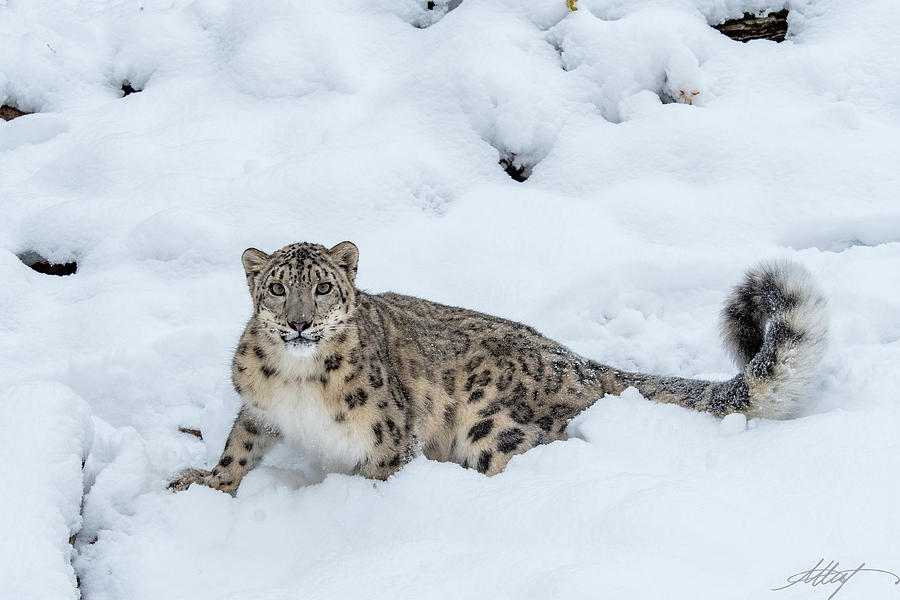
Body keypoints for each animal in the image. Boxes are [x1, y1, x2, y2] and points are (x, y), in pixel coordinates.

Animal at [165, 239, 828, 492]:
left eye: (323, 287)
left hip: (493, 427)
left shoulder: (387, 435)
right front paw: (202, 481)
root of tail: (582, 362)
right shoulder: (258, 408)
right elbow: (239, 448)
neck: (299, 383)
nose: (301, 323)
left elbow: (381, 473)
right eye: (278, 289)